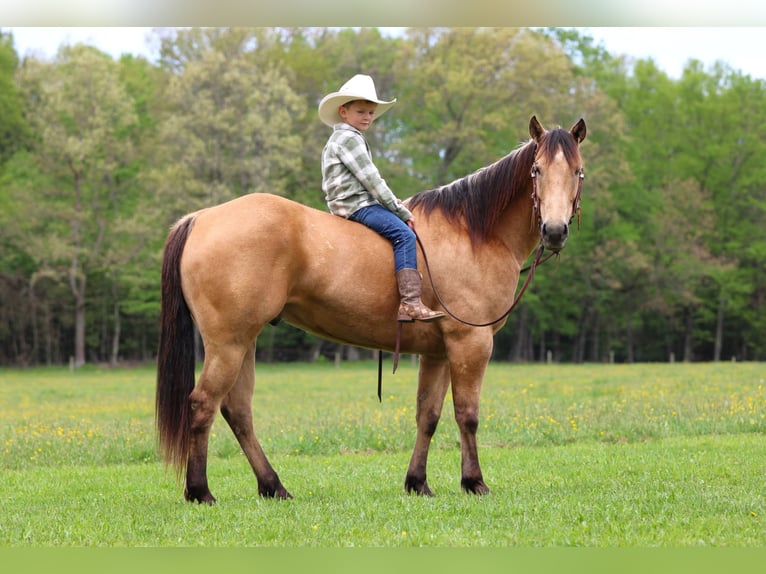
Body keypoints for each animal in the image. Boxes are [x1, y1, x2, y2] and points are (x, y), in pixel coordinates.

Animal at [156, 115, 587, 502]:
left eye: (578, 172)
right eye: (536, 169)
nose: (554, 230)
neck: (475, 233)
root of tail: (201, 218)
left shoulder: (437, 353)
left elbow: (428, 416)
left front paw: (417, 483)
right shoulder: (471, 343)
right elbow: (467, 414)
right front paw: (473, 482)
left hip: (244, 342)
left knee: (238, 411)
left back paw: (273, 486)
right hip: (228, 344)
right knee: (203, 405)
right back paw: (200, 491)